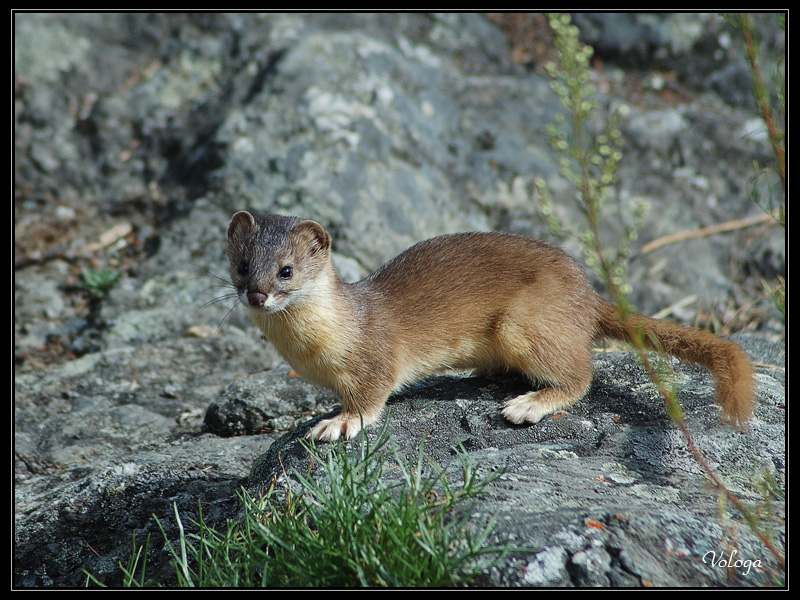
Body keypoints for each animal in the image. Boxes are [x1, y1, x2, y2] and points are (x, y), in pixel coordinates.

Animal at [227, 211, 756, 440]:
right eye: (242, 264)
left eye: (286, 271)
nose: (256, 294)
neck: (312, 352)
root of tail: (586, 292)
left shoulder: (374, 357)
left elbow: (370, 400)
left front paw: (336, 423)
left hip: (525, 322)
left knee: (581, 372)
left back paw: (528, 405)